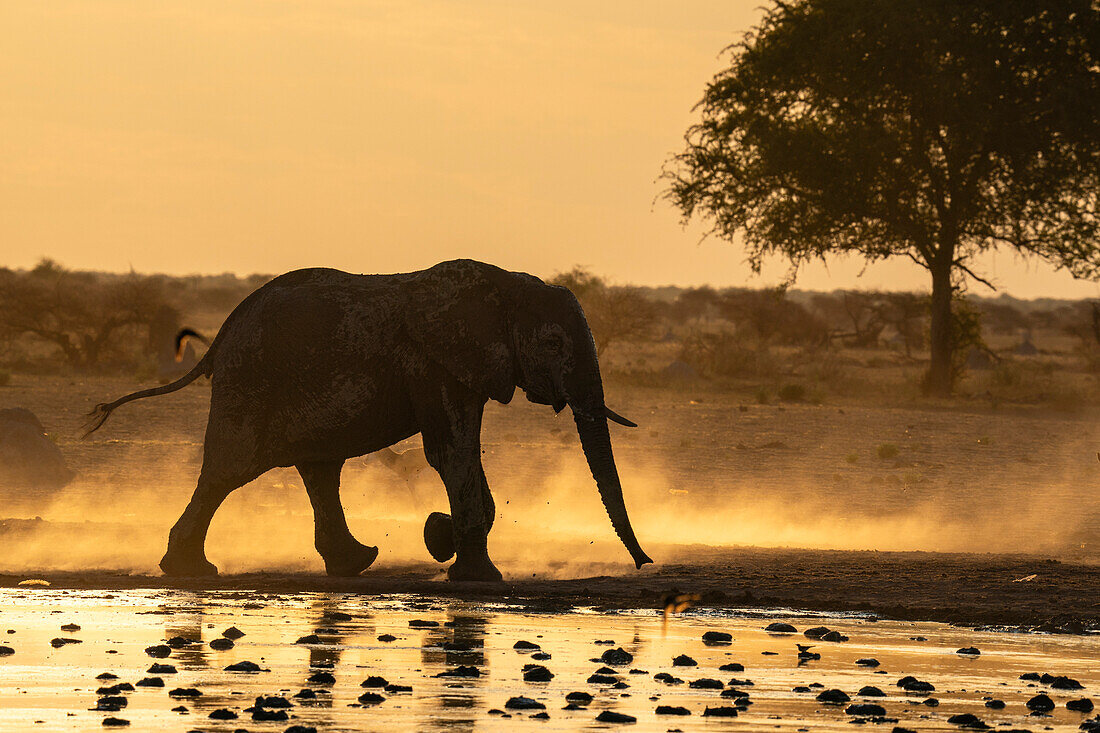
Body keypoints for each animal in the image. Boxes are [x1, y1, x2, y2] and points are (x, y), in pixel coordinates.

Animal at [88, 259, 651, 581]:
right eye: (553, 343)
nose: (644, 564)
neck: (505, 287)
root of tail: (222, 333)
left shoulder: (460, 368)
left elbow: (461, 453)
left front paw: (441, 539)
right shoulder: (434, 364)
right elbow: (452, 453)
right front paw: (477, 574)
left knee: (318, 470)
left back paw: (355, 564)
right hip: (251, 380)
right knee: (230, 470)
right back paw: (193, 572)